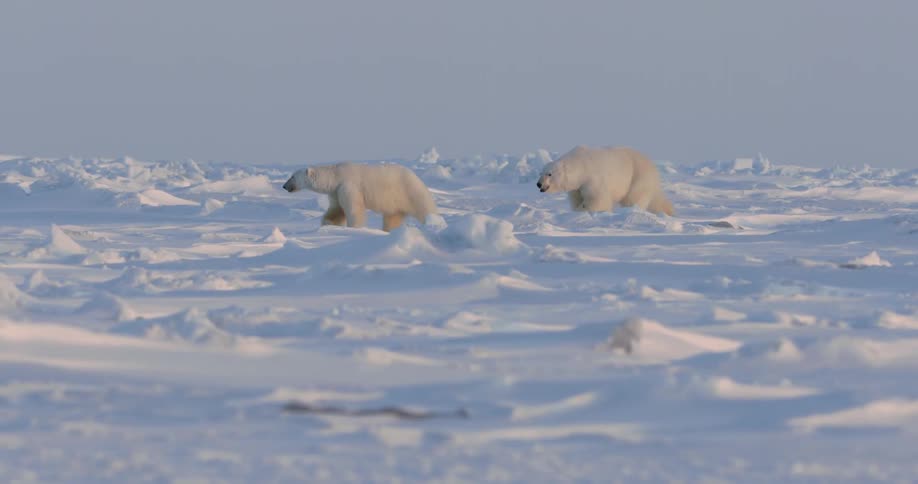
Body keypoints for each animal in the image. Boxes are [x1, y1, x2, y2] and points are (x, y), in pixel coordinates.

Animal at [282, 162, 438, 232]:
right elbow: (336, 210)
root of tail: (416, 177)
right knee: (392, 217)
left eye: (292, 176)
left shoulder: (348, 186)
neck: (336, 175)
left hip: (409, 191)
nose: (284, 186)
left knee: (424, 208)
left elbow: (354, 209)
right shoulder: (336, 192)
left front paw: (354, 228)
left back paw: (434, 223)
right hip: (394, 202)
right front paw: (328, 224)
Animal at [536, 145, 674, 216]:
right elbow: (577, 198)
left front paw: (583, 210)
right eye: (541, 173)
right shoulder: (577, 187)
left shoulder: (593, 178)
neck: (581, 164)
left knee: (633, 197)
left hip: (638, 175)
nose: (539, 184)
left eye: (549, 174)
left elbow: (597, 200)